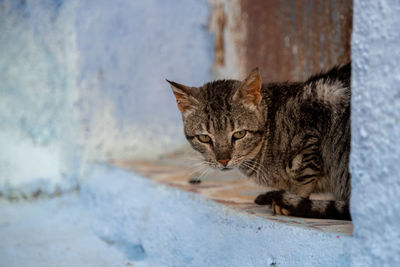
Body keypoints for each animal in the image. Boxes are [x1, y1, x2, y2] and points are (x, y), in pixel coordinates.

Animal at [167, 63, 352, 221]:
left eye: (239, 134)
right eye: (204, 138)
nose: (224, 160)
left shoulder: (309, 137)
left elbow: (303, 179)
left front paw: (291, 202)